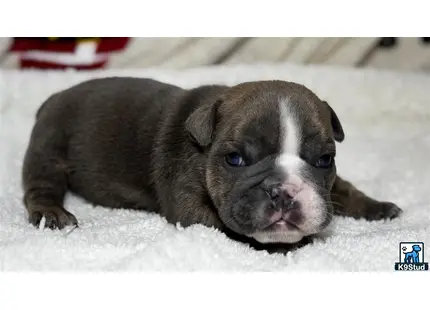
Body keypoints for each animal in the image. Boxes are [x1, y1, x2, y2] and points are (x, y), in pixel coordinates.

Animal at [21, 77, 404, 252]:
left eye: (325, 160)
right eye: (235, 159)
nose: (282, 193)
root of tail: (51, 99)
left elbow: (344, 189)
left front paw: (377, 207)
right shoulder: (190, 207)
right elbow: (230, 229)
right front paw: (295, 243)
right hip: (48, 148)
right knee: (40, 185)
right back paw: (51, 213)